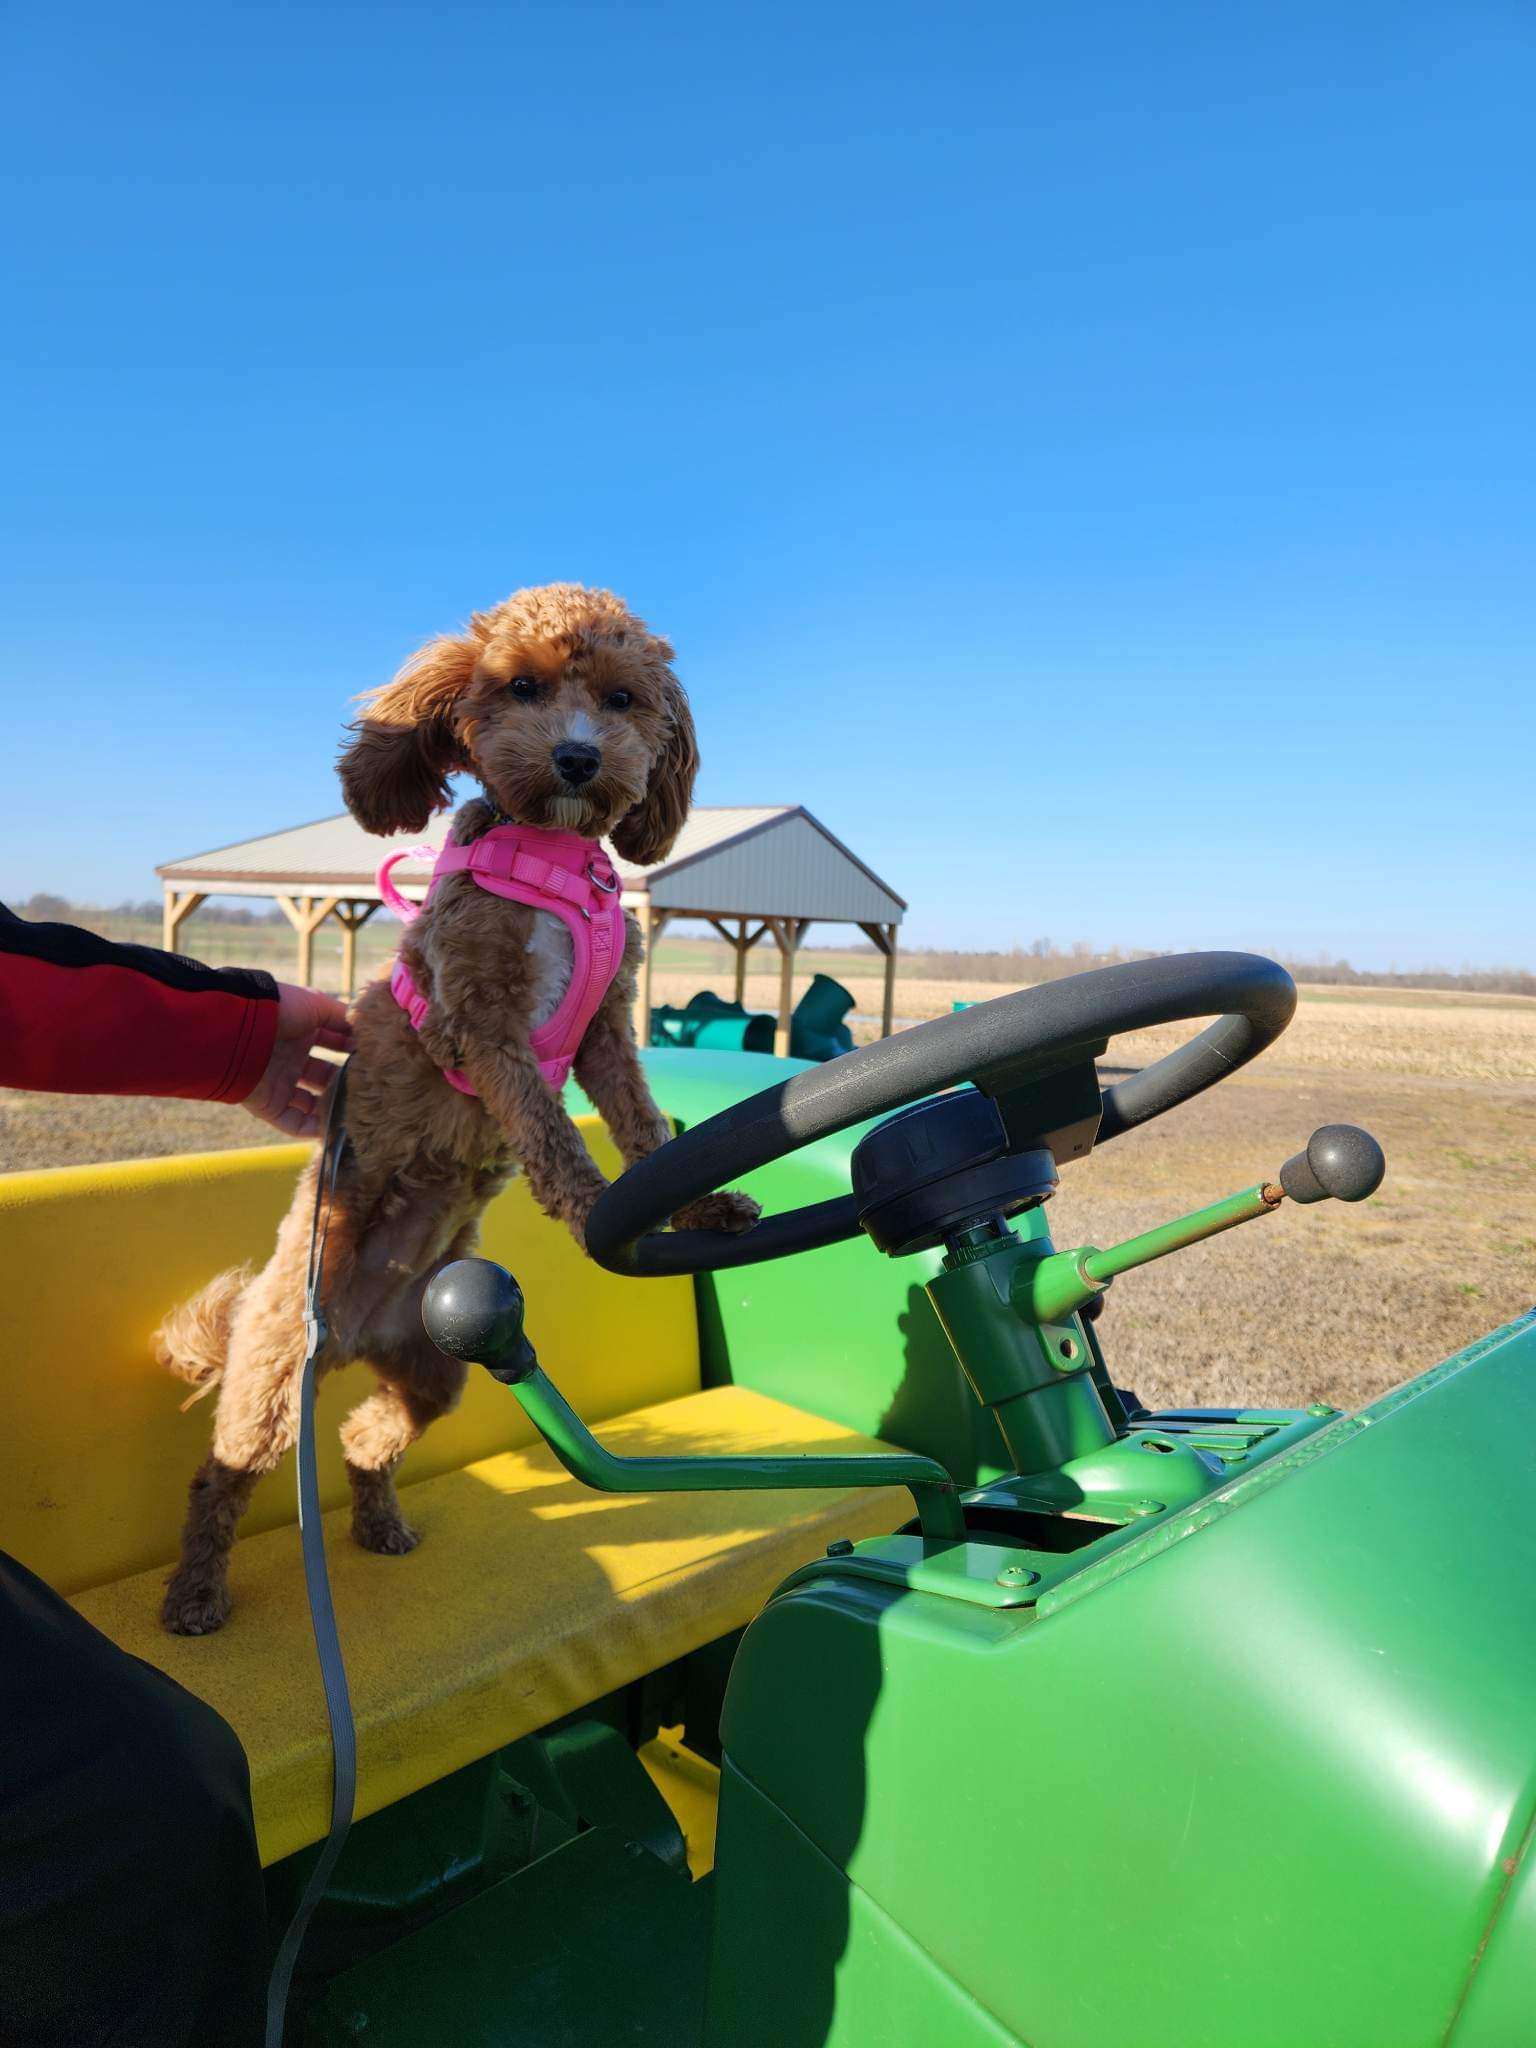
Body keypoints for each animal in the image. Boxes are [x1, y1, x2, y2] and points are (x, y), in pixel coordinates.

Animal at [156, 589, 757, 1630]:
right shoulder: (482, 1024)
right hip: (275, 1366)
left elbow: (645, 1129)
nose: (578, 758)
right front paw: (592, 1211)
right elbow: (553, 1135)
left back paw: (379, 1524)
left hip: (438, 1368)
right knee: (223, 1474)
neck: (553, 858)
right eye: (520, 687)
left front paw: (700, 1205)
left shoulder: (605, 1032)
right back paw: (197, 1594)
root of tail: (352, 1333)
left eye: (623, 698)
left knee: (366, 1439)